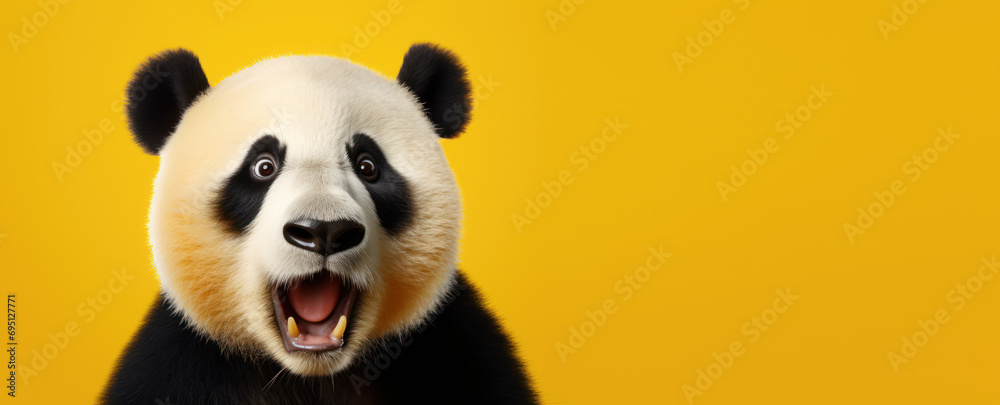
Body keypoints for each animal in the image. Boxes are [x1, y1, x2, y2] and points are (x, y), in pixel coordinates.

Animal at [101, 44, 538, 404]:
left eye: (368, 166)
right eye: (263, 166)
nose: (324, 231)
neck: (312, 376)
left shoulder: (459, 355)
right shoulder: (179, 369)